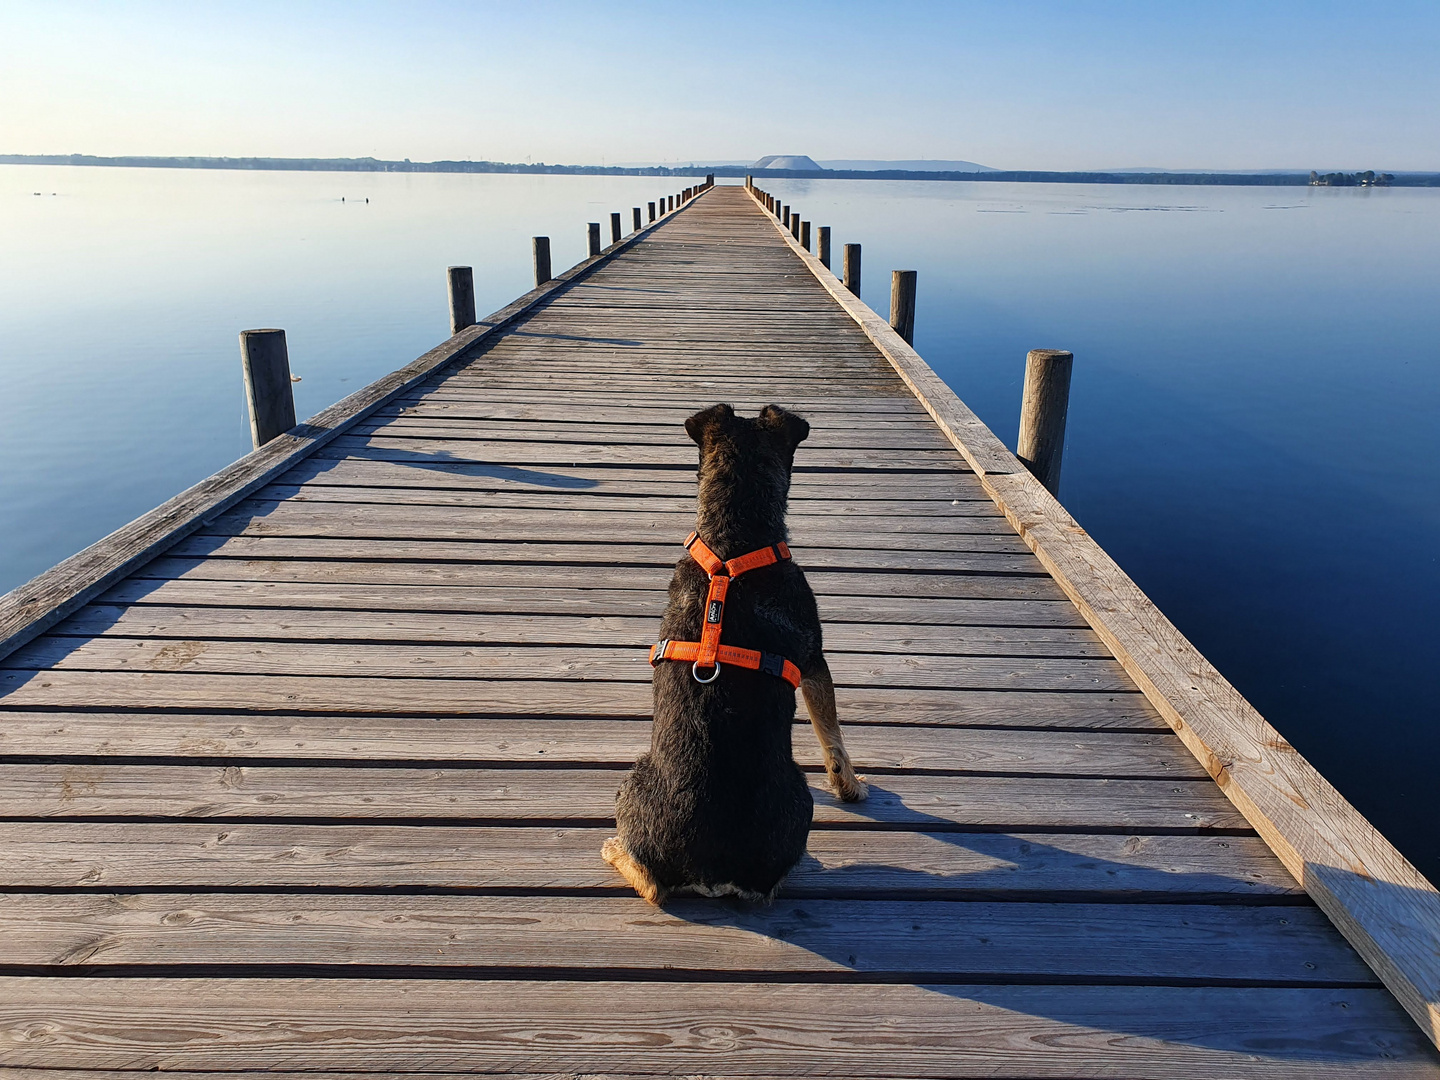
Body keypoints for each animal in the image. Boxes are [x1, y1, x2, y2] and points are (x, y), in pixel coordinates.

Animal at [599, 403, 864, 910]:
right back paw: (611, 847)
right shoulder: (816, 658)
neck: (734, 540)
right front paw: (851, 786)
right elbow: (833, 735)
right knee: (656, 886)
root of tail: (712, 869)